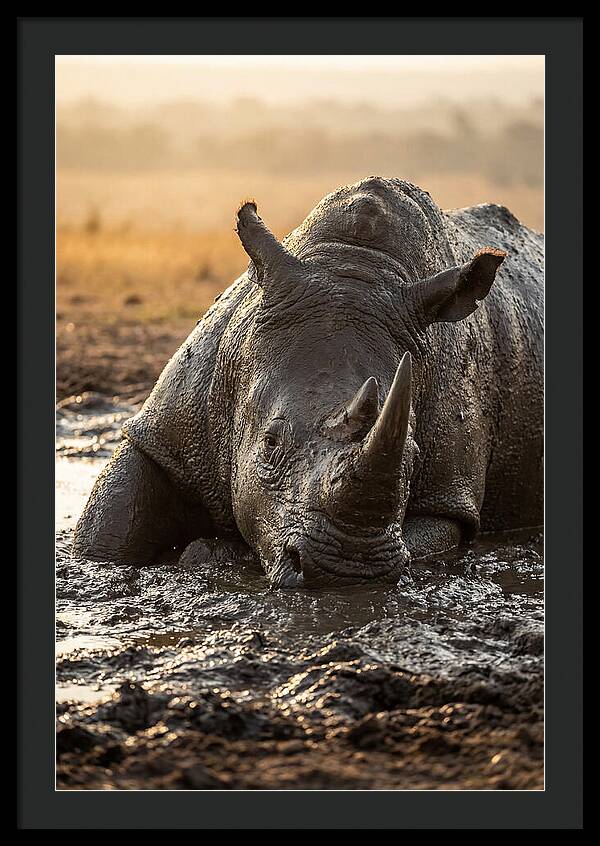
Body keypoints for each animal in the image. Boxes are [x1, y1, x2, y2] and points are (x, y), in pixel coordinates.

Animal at [72, 177, 543, 587]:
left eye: (412, 455)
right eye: (269, 443)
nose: (347, 569)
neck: (355, 265)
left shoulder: (450, 496)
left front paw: (211, 553)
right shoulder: (166, 430)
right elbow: (109, 528)